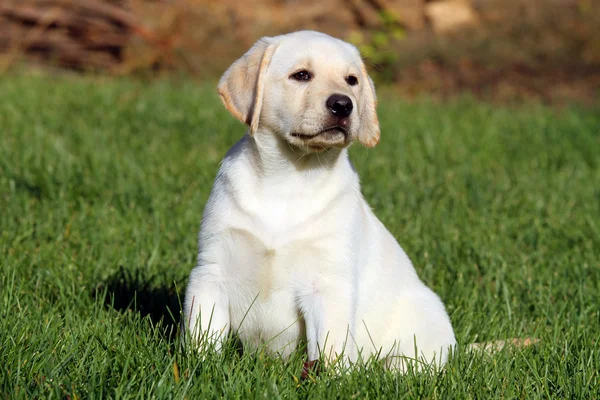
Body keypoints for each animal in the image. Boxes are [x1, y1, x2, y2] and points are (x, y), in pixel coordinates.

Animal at [183, 29, 454, 370]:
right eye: (301, 75)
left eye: (352, 80)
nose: (343, 105)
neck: (289, 177)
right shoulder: (211, 271)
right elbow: (201, 335)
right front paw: (196, 369)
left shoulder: (328, 285)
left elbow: (329, 352)